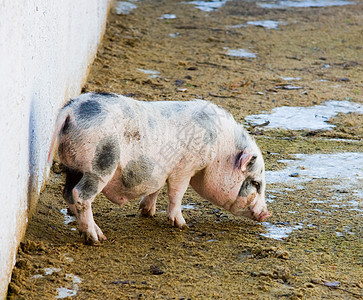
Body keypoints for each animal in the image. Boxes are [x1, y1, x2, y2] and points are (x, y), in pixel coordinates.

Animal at [47, 92, 270, 245]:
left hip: (72, 167)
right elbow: (176, 194)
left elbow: (156, 188)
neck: (220, 150)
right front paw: (182, 225)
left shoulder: (161, 171)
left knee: (68, 194)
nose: (266, 214)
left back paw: (94, 232)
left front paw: (148, 213)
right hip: (100, 164)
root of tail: (71, 110)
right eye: (255, 183)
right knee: (81, 195)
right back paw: (95, 239)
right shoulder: (184, 168)